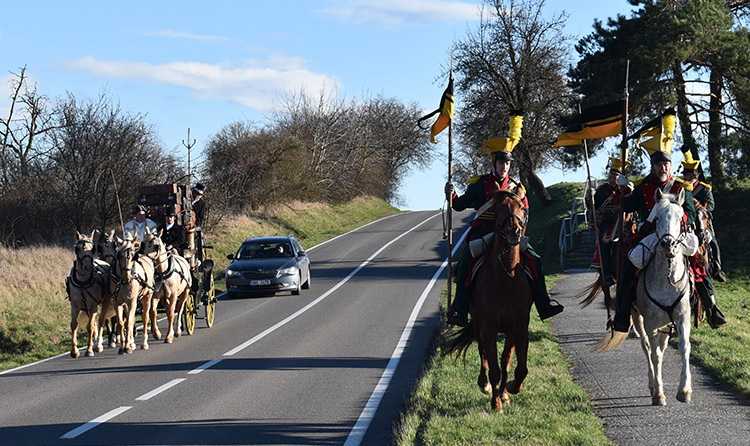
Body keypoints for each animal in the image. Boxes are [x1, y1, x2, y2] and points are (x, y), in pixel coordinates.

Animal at [446, 190, 536, 412]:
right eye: (500, 208)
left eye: (522, 207)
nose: (514, 232)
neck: (506, 278)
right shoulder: (489, 326)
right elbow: (494, 366)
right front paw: (496, 403)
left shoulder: (519, 326)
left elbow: (515, 366)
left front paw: (509, 390)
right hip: (478, 324)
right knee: (483, 353)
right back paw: (484, 384)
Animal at [600, 190, 700, 406]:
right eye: (658, 218)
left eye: (680, 217)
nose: (668, 244)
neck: (667, 276)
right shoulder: (651, 321)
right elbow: (654, 354)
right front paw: (659, 394)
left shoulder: (682, 317)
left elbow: (684, 347)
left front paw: (684, 390)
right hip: (638, 318)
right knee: (648, 347)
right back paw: (653, 386)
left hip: (665, 323)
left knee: (661, 347)